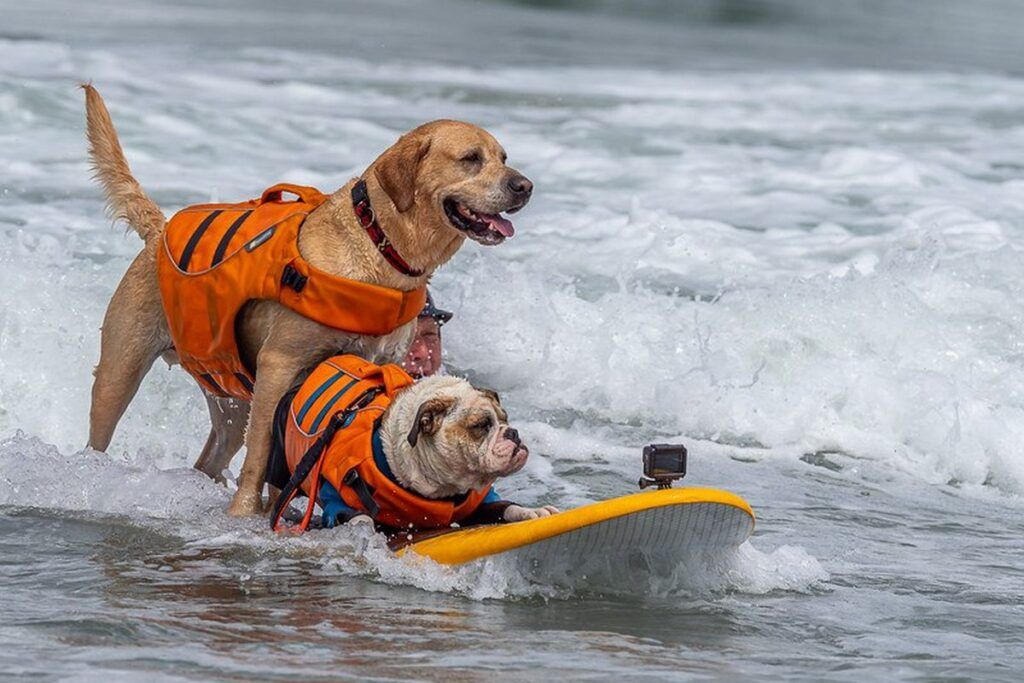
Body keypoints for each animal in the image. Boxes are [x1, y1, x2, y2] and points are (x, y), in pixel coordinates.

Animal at [82, 85, 532, 516]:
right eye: (471, 159)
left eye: (504, 157)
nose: (525, 186)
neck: (379, 244)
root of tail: (159, 231)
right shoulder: (278, 365)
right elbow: (261, 453)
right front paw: (246, 513)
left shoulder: (383, 364)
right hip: (120, 372)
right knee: (98, 436)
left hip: (232, 399)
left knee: (211, 456)